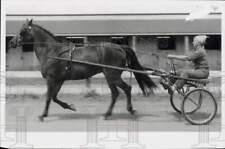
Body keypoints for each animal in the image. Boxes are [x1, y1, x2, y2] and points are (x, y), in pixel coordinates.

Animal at [8, 18, 156, 121]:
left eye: (23, 30)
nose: (11, 42)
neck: (52, 52)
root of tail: (119, 47)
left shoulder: (51, 79)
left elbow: (48, 97)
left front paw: (43, 115)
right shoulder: (59, 80)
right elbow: (54, 97)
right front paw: (70, 106)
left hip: (112, 75)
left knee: (125, 90)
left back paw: (121, 111)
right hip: (110, 76)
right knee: (117, 93)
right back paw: (111, 113)